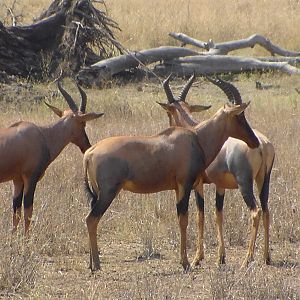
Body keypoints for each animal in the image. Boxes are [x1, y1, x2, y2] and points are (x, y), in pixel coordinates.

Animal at [0, 80, 103, 234]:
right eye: (83, 123)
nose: (87, 146)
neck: (43, 135)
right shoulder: (30, 178)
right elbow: (28, 210)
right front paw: (26, 237)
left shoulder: (17, 180)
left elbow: (16, 210)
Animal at [83, 78, 258, 270]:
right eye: (239, 115)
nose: (255, 141)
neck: (195, 137)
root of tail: (90, 152)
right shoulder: (185, 185)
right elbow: (184, 219)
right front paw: (186, 263)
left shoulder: (178, 188)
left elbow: (184, 217)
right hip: (108, 192)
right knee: (91, 219)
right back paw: (97, 265)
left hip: (97, 194)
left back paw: (91, 263)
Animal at [158, 74, 276, 266]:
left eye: (169, 112)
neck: (197, 132)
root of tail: (262, 144)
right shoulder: (220, 186)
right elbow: (218, 214)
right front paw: (221, 257)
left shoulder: (197, 184)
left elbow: (200, 216)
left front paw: (197, 258)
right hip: (264, 180)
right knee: (266, 211)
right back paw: (266, 257)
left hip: (245, 184)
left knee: (256, 212)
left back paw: (247, 259)